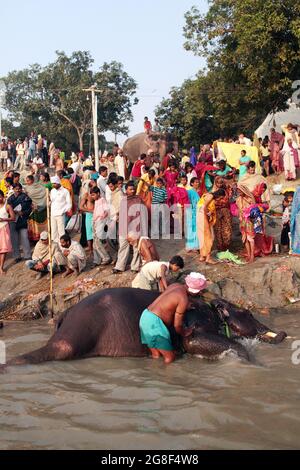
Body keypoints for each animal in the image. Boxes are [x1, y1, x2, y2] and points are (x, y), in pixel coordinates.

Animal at [4, 286, 286, 368]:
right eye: (247, 312)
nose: (283, 333)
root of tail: (65, 313)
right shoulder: (195, 324)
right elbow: (192, 341)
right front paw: (255, 365)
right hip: (77, 332)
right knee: (60, 349)